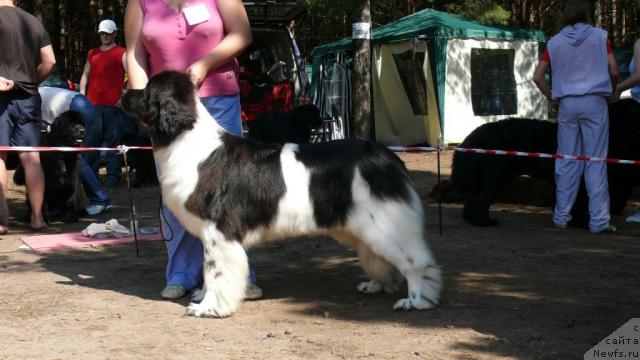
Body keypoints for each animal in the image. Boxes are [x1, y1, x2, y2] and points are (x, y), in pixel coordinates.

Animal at [120, 71, 440, 318]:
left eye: (146, 89)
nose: (123, 91)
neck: (188, 139)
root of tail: (389, 157)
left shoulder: (218, 232)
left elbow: (215, 272)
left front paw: (208, 307)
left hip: (384, 223)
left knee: (416, 262)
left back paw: (416, 300)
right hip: (360, 226)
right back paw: (376, 285)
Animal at [450, 98, 640, 226]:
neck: (616, 130)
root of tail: (472, 139)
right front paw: (581, 221)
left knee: (472, 197)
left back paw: (471, 219)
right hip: (497, 175)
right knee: (482, 199)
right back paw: (484, 222)